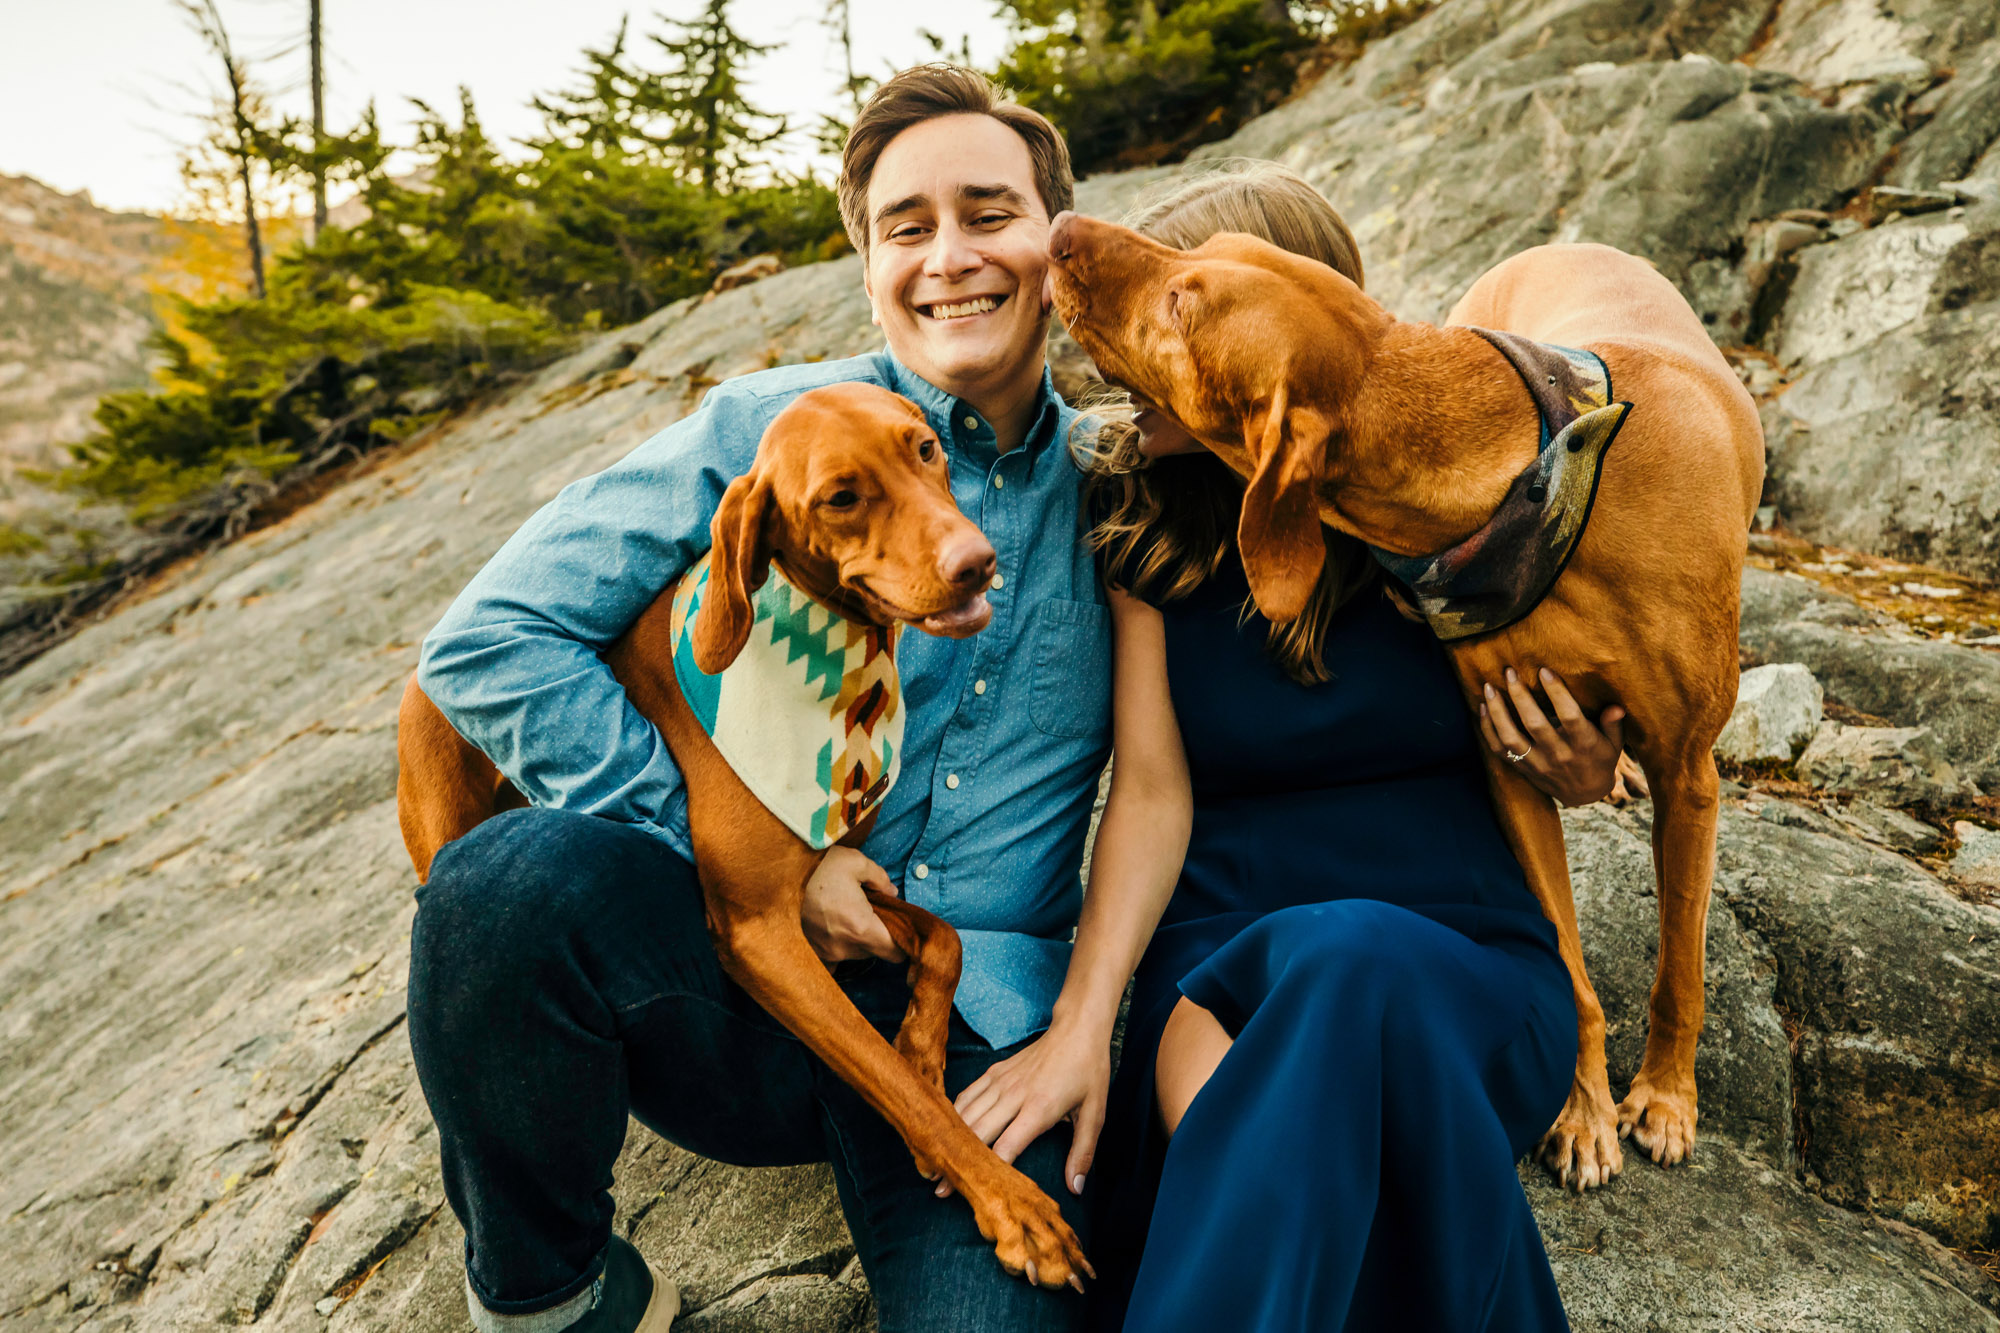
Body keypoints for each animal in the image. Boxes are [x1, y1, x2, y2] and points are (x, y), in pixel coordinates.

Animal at [396, 378, 1096, 1280]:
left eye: (925, 448)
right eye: (840, 497)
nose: (975, 561)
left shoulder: (846, 867)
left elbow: (945, 944)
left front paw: (921, 1046)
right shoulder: (763, 932)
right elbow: (892, 1082)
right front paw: (1011, 1204)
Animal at [1048, 213, 1768, 1184]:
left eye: (1180, 300)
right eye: (1195, 256)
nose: (1058, 228)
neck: (1530, 482)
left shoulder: (1691, 775)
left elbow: (1681, 968)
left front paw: (1661, 1095)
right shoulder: (1508, 762)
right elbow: (1568, 964)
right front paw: (1581, 1108)